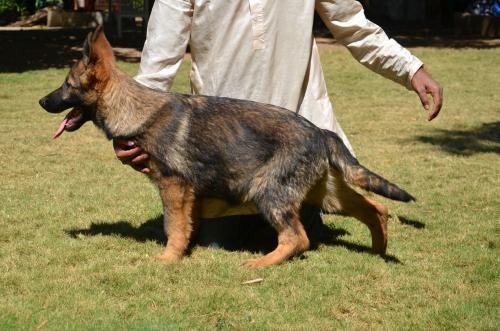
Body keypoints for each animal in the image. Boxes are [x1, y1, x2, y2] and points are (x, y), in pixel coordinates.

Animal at [38, 27, 414, 268]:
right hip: (325, 194)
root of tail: (320, 132)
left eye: (67, 85)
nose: (41, 102)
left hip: (268, 192)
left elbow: (173, 227)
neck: (135, 108)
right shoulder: (186, 194)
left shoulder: (173, 187)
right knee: (375, 208)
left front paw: (168, 259)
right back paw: (379, 250)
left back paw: (261, 265)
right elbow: (184, 226)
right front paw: (181, 252)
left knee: (298, 238)